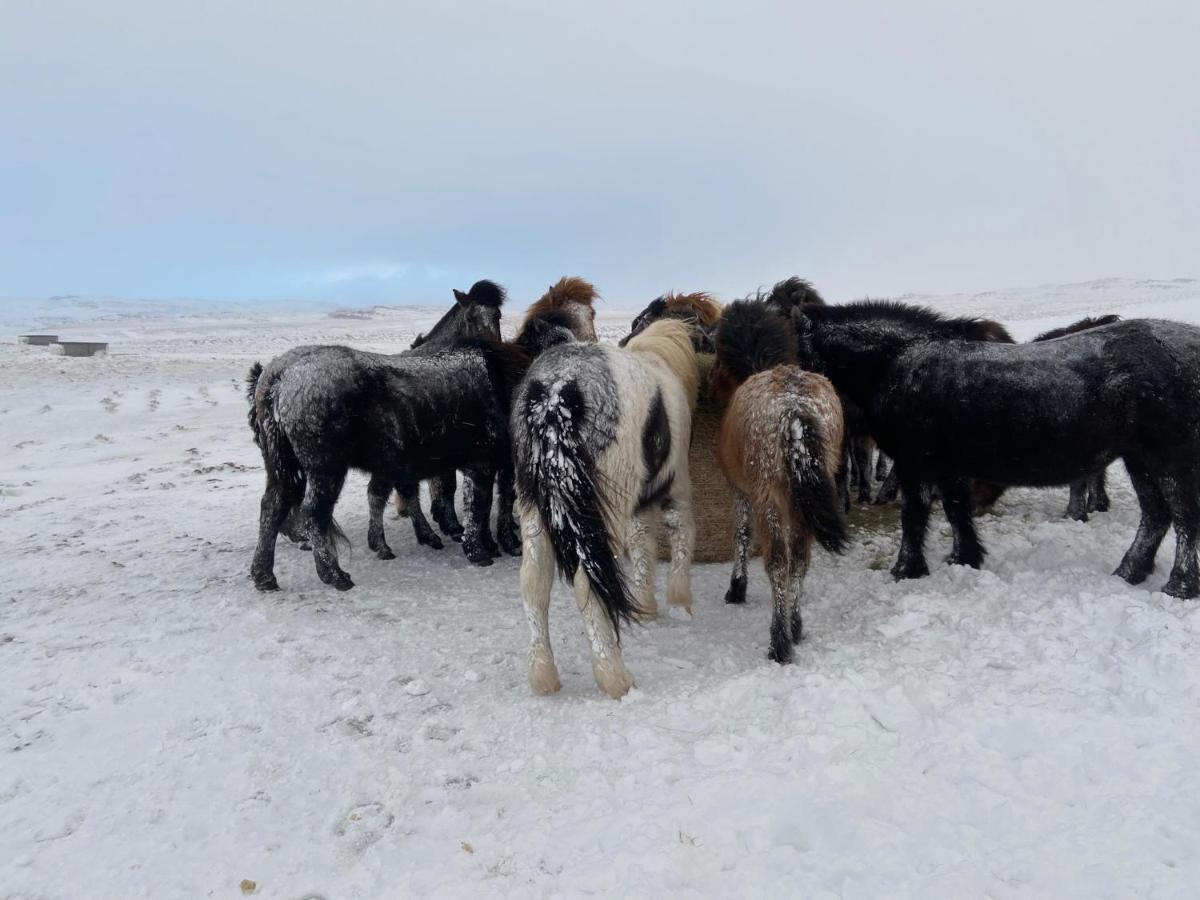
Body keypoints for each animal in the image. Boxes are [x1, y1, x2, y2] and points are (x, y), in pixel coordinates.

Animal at [242, 307, 571, 595]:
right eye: (561, 345)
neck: (503, 376)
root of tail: (279, 378)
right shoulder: (484, 463)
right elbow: (481, 505)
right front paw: (482, 550)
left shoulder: (494, 464)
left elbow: (494, 502)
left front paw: (494, 543)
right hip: (325, 470)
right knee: (314, 513)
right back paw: (333, 574)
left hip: (284, 467)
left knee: (272, 506)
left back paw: (264, 575)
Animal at [511, 321, 700, 700]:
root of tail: (555, 390)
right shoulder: (675, 490)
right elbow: (682, 535)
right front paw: (679, 602)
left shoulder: (638, 505)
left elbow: (642, 547)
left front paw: (645, 604)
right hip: (601, 510)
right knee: (589, 584)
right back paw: (614, 676)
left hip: (533, 508)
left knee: (533, 583)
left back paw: (543, 676)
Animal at [705, 301, 849, 662]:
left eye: (717, 359)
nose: (709, 386)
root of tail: (794, 410)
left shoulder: (742, 491)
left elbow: (741, 534)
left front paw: (737, 586)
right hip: (803, 500)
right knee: (798, 559)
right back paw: (794, 625)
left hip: (769, 496)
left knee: (778, 562)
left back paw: (779, 641)